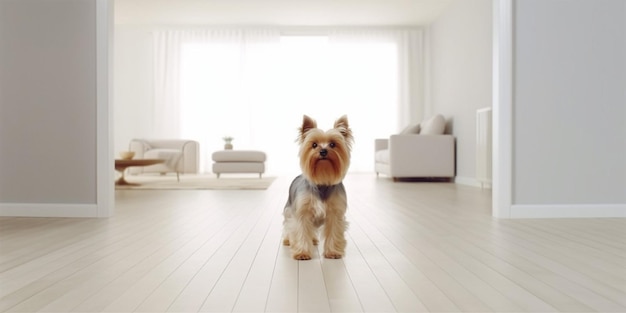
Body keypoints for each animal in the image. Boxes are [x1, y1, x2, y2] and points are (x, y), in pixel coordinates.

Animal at [282, 114, 352, 258]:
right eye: (314, 145)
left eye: (333, 144)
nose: (323, 151)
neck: (322, 180)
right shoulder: (302, 213)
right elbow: (301, 230)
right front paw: (302, 253)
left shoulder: (335, 213)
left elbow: (334, 231)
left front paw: (333, 252)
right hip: (289, 209)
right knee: (288, 225)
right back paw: (287, 240)